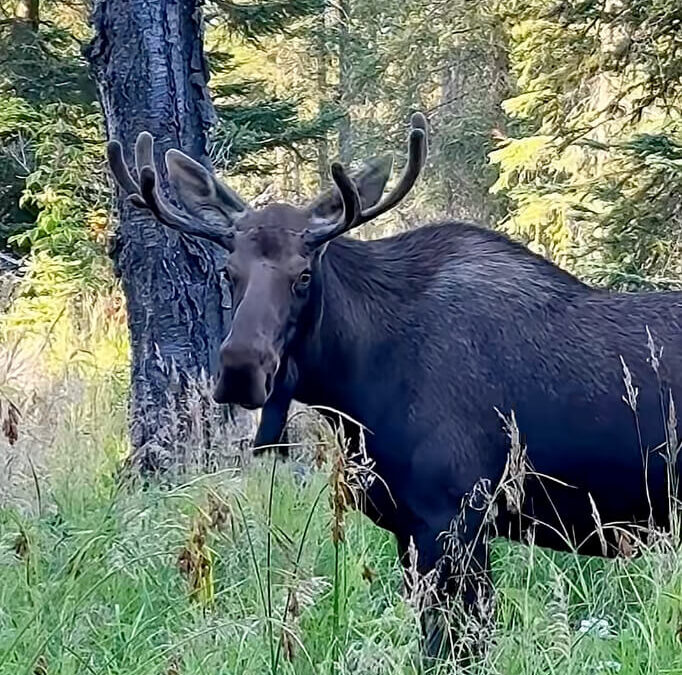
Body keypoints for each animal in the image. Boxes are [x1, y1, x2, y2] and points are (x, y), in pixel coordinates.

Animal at [107, 114, 682, 660]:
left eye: (303, 275)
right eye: (229, 273)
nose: (241, 368)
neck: (354, 392)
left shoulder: (455, 515)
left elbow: (456, 645)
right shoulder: (410, 527)